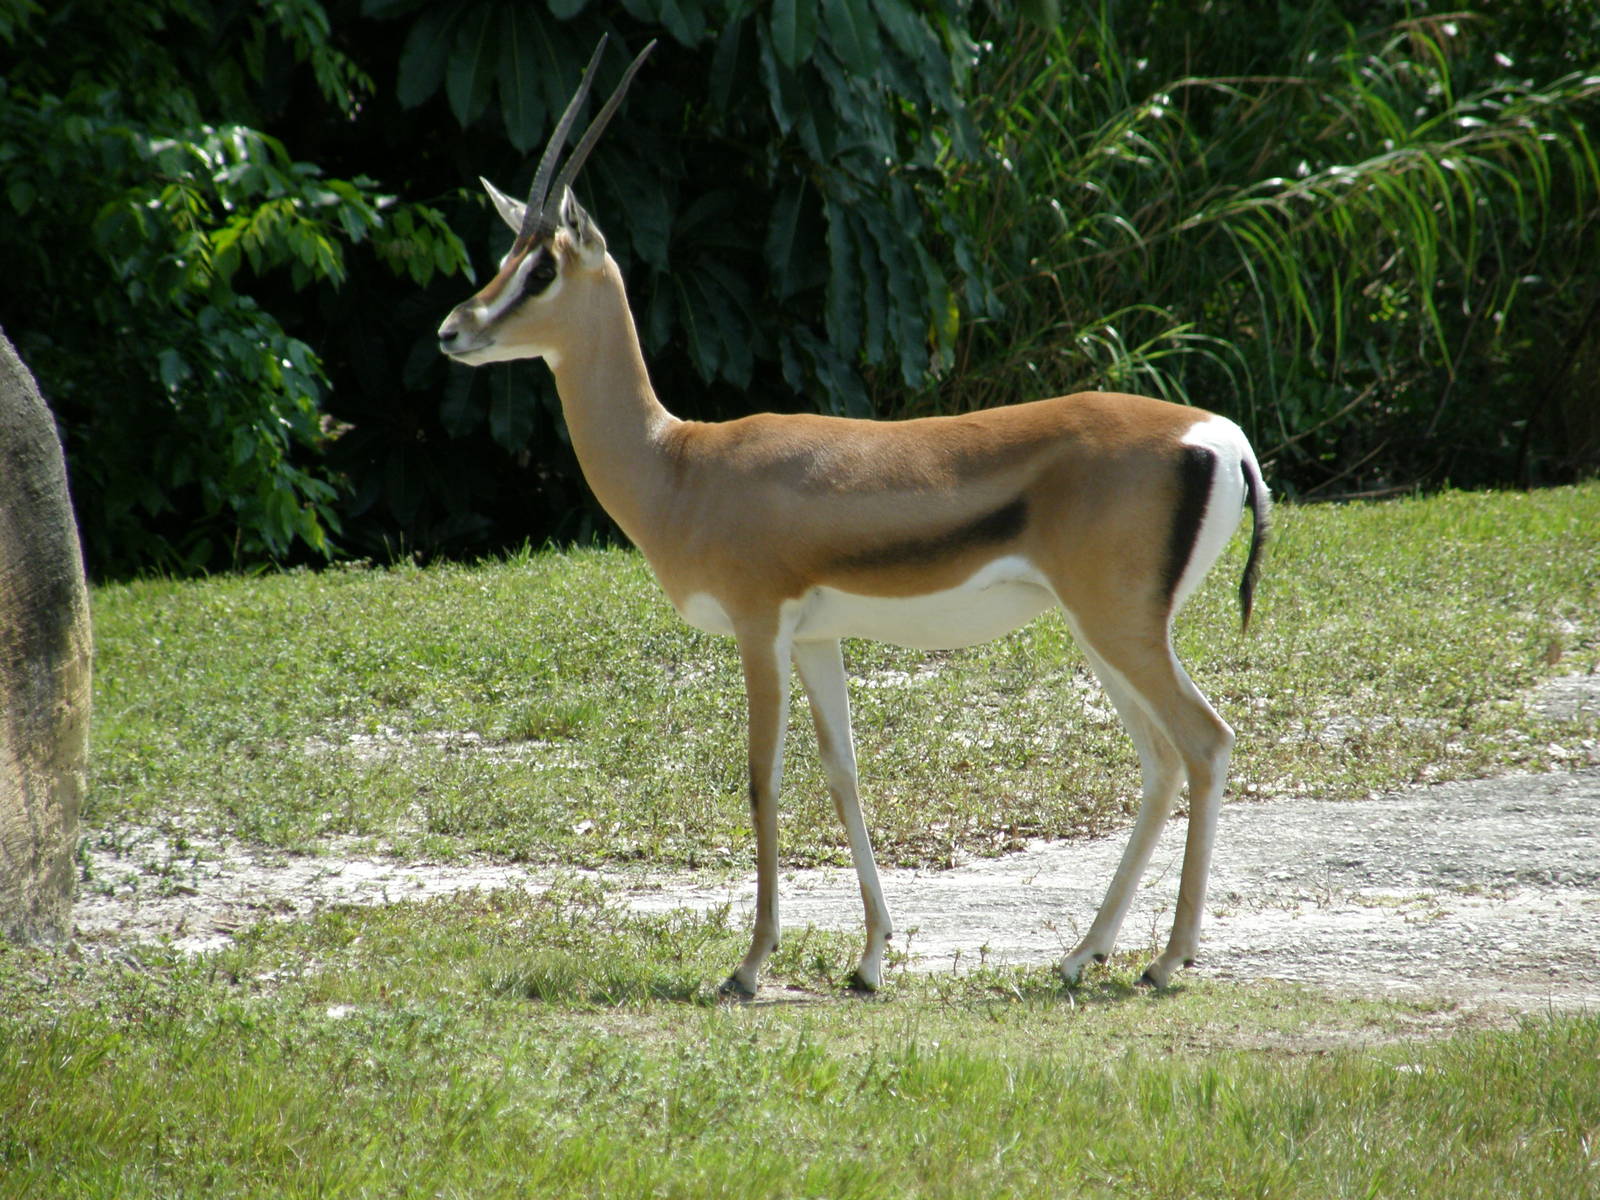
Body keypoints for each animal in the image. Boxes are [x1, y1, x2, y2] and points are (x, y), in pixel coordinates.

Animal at [437, 39, 1270, 998]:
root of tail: (1218, 437)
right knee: (1160, 759)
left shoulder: (759, 628)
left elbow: (763, 778)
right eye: (508, 255)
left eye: (542, 268)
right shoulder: (816, 638)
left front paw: (749, 966)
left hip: (1120, 628)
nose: (453, 330)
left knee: (1206, 742)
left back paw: (1166, 962)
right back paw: (1082, 954)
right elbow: (844, 775)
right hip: (1101, 632)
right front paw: (870, 959)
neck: (680, 465)